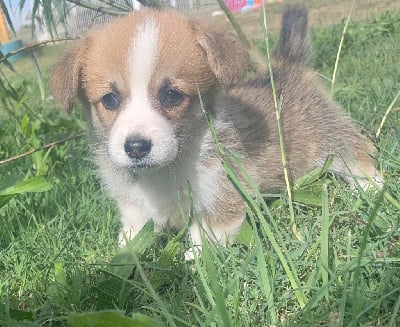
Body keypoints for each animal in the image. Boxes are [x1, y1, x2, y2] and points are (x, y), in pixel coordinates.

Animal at [50, 5, 382, 256]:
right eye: (109, 99)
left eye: (172, 95)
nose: (135, 147)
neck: (166, 170)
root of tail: (286, 67)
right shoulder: (133, 207)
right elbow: (133, 234)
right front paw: (122, 254)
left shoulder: (224, 193)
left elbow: (207, 235)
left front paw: (194, 261)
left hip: (333, 137)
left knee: (360, 156)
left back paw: (372, 188)